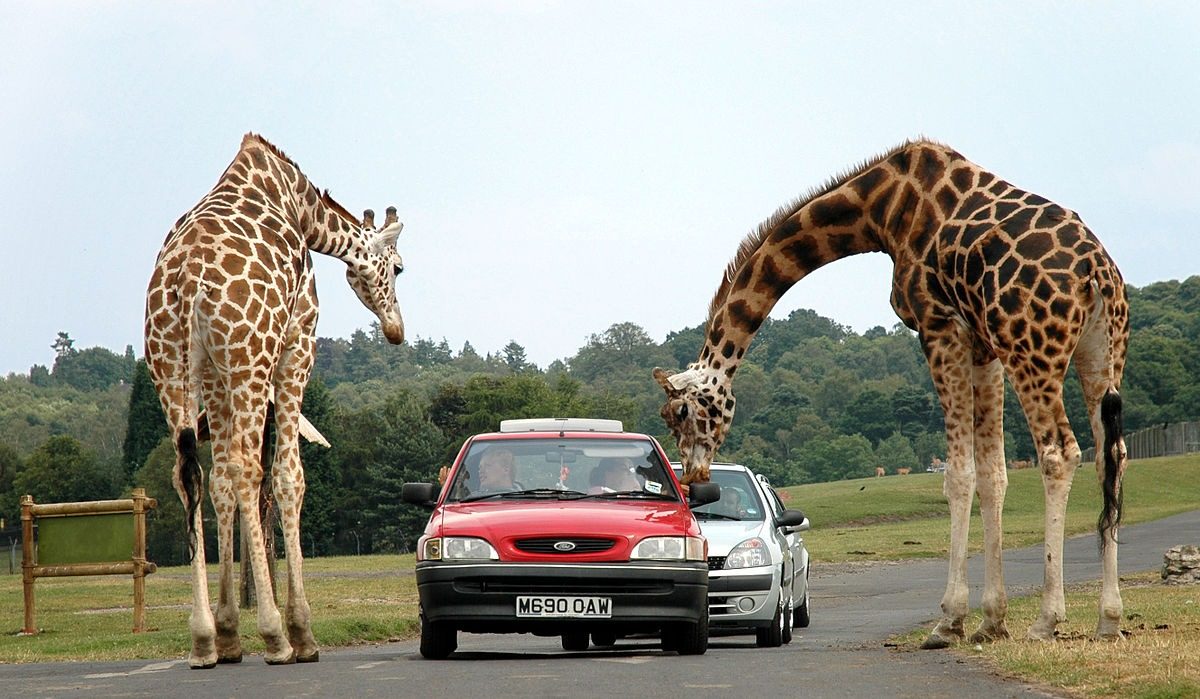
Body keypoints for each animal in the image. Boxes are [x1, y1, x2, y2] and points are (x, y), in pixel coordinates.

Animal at [144, 133, 407, 668]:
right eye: (400, 268)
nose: (397, 330)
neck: (301, 207)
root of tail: (185, 282)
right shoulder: (297, 341)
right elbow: (289, 476)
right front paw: (302, 630)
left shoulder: (215, 374)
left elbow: (219, 483)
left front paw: (227, 633)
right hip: (251, 357)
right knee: (249, 469)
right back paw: (277, 637)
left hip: (172, 366)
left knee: (190, 473)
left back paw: (203, 640)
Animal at [655, 139, 1129, 648]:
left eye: (680, 412)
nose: (695, 478)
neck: (880, 210)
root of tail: (1096, 273)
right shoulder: (982, 345)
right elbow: (992, 474)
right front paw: (991, 621)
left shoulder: (939, 325)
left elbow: (958, 474)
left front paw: (949, 621)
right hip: (1101, 352)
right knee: (1110, 455)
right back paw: (1109, 617)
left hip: (1031, 349)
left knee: (1059, 452)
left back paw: (1047, 620)